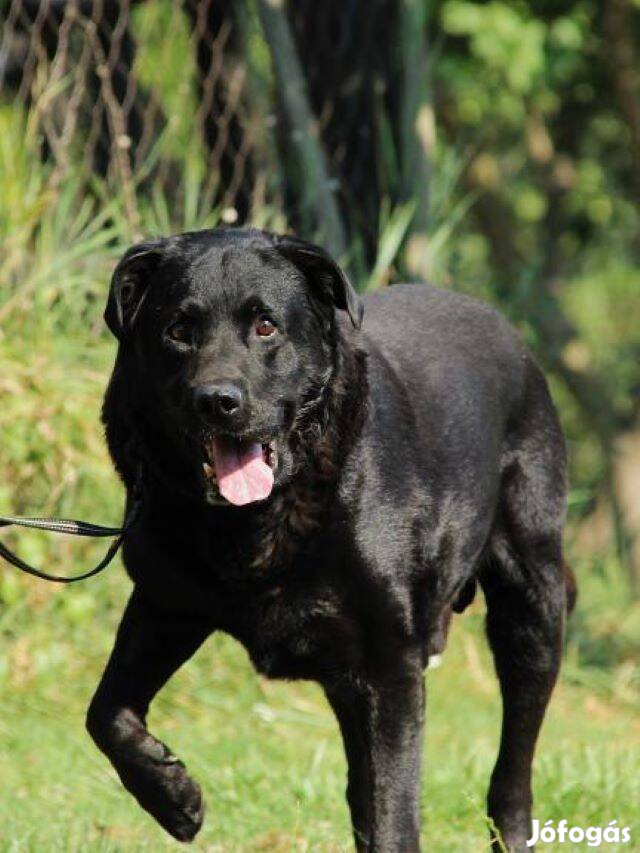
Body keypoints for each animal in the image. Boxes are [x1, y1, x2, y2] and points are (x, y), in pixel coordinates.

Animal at [86, 228, 576, 852]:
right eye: (177, 331)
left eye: (265, 326)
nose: (218, 401)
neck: (255, 523)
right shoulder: (165, 602)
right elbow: (104, 711)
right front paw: (173, 797)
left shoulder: (390, 665)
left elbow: (394, 813)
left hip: (530, 605)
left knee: (514, 758)